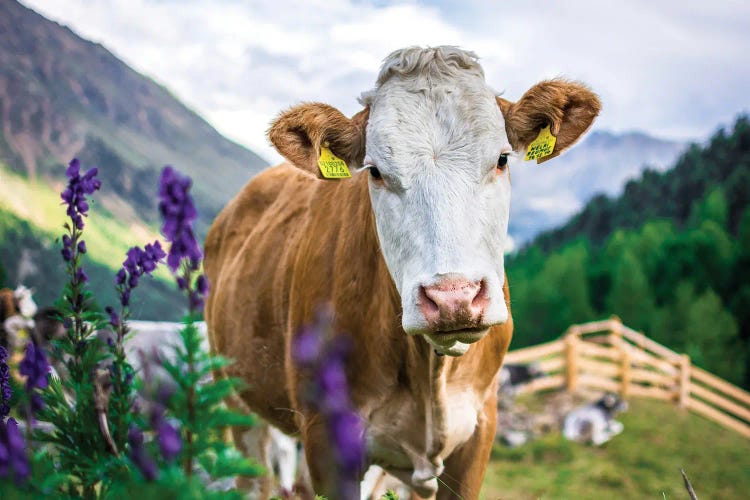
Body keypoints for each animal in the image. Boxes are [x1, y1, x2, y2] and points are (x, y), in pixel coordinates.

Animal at [203, 45, 604, 498]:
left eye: (502, 159)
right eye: (375, 171)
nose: (453, 298)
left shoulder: (479, 431)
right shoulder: (326, 438)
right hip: (237, 401)